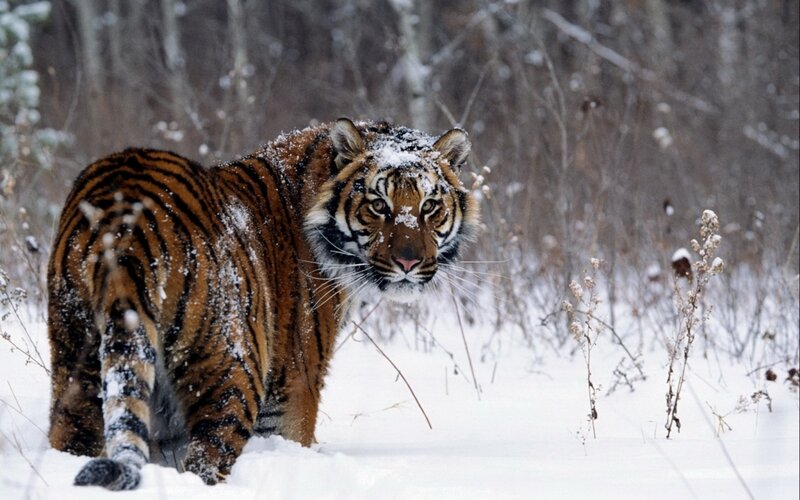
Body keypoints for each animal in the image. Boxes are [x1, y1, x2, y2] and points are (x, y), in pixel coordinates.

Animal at [47, 118, 479, 490]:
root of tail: (125, 220)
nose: (408, 263)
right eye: (378, 205)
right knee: (206, 460)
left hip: (76, 362)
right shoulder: (294, 382)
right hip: (232, 371)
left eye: (429, 206)